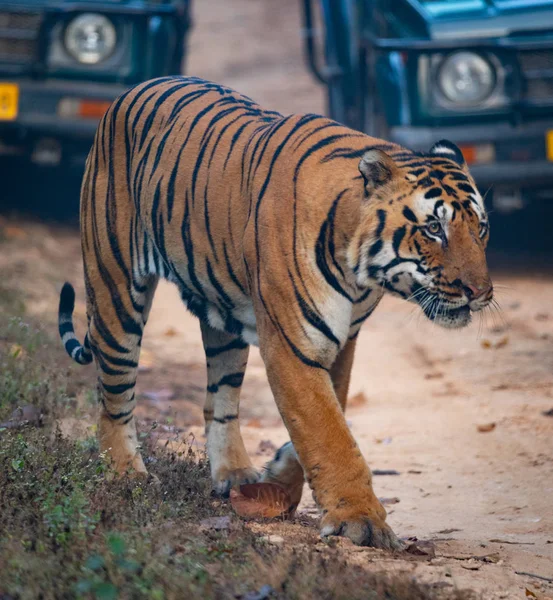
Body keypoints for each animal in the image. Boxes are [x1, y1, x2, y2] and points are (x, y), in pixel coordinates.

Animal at [59, 75, 492, 548]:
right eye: (434, 228)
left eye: (481, 228)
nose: (480, 292)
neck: (360, 276)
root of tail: (134, 89)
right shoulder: (293, 346)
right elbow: (329, 433)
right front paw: (361, 521)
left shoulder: (341, 343)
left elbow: (327, 418)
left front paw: (282, 477)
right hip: (115, 289)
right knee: (114, 394)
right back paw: (125, 474)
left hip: (223, 319)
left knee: (219, 401)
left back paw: (234, 475)